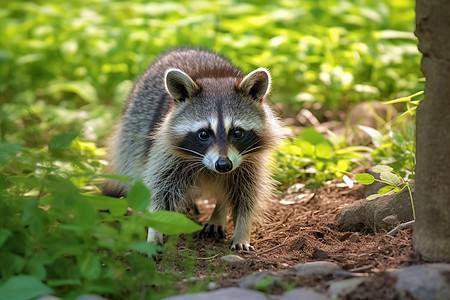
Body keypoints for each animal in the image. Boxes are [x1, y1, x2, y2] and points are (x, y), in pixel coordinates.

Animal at [103, 48, 284, 250]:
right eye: (204, 133)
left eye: (237, 132)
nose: (223, 165)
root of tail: (183, 49)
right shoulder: (165, 151)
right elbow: (160, 190)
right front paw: (154, 232)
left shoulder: (250, 160)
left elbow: (247, 194)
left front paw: (242, 231)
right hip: (133, 127)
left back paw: (218, 213)